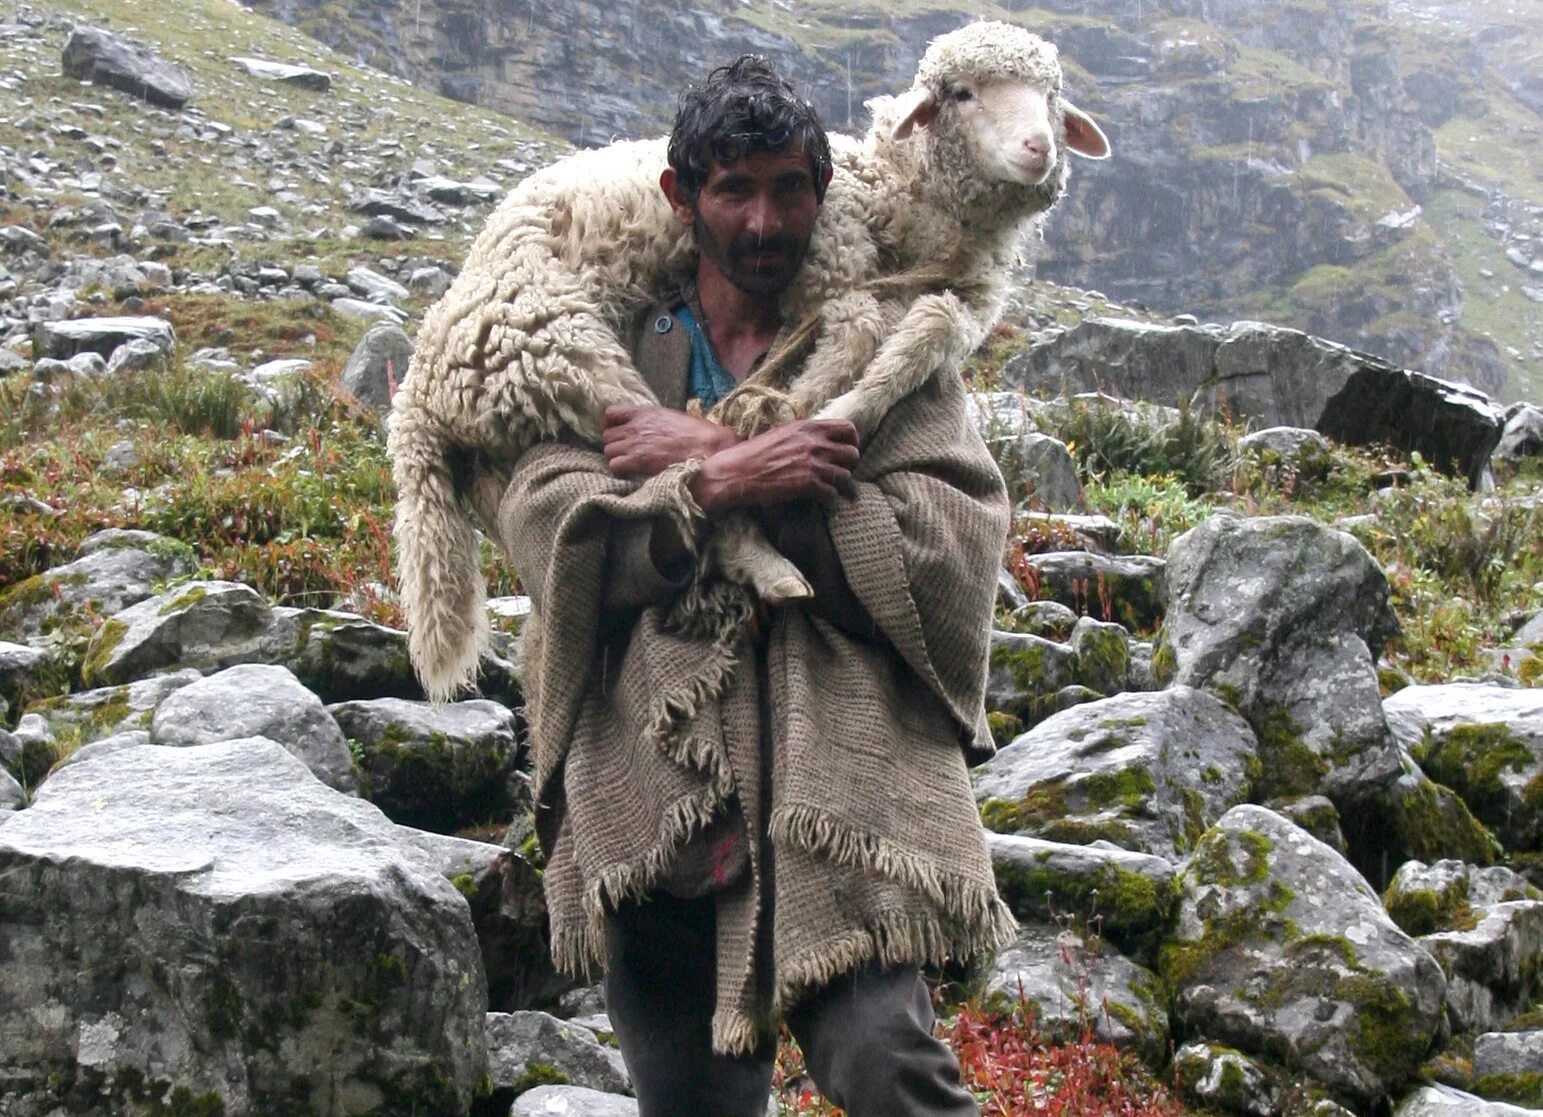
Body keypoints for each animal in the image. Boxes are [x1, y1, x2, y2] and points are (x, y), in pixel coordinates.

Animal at [388, 19, 1110, 697]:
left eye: (1050, 97)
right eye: (961, 94)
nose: (1037, 149)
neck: (907, 201)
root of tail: (418, 394)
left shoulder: (959, 298)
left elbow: (927, 331)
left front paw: (845, 401)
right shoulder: (830, 262)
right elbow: (858, 329)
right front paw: (815, 405)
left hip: (510, 432)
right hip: (555, 344)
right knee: (673, 476)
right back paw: (767, 556)